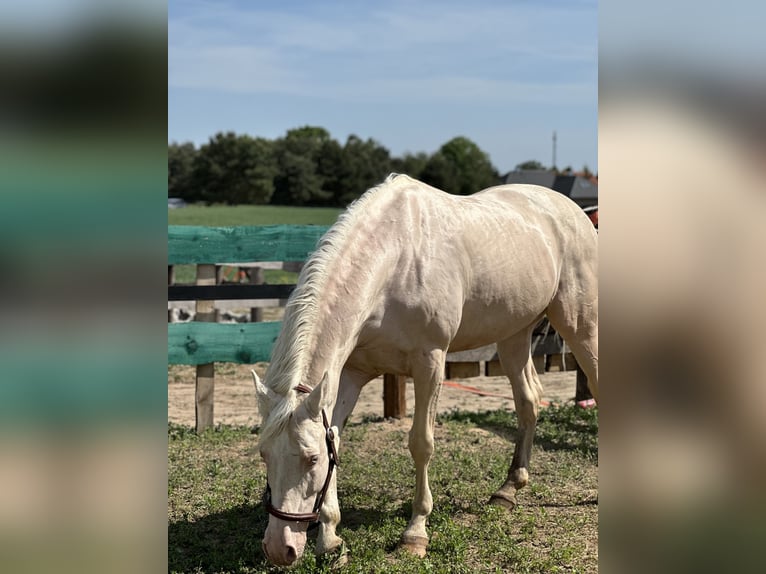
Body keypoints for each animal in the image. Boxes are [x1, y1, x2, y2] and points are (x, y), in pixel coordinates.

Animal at [255, 174, 596, 568]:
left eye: (311, 459)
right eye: (264, 454)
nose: (279, 549)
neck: (393, 260)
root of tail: (574, 211)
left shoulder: (430, 363)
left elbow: (421, 443)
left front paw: (415, 534)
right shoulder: (352, 374)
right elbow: (336, 439)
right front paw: (330, 540)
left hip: (580, 324)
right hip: (514, 334)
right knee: (529, 401)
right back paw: (508, 490)